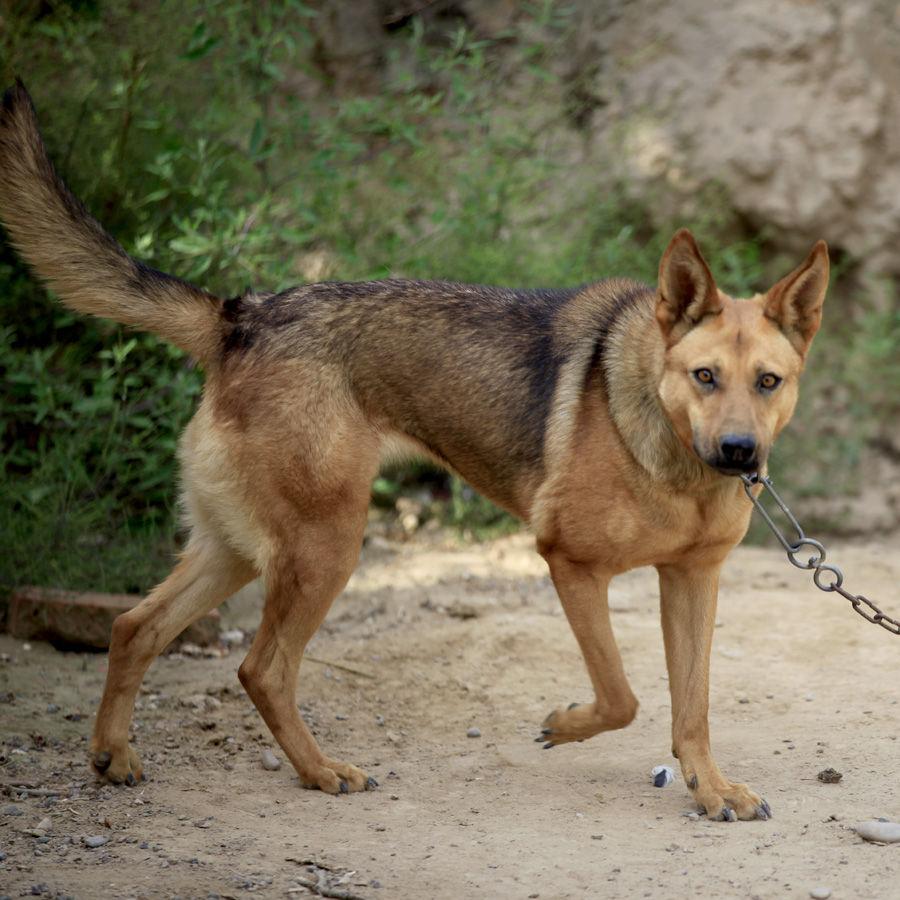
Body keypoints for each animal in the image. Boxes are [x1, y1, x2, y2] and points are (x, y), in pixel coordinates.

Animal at [0, 81, 828, 820]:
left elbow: (692, 706)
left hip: (236, 548)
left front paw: (709, 789)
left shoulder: (693, 581)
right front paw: (563, 725)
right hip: (326, 546)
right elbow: (621, 696)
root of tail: (241, 316)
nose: (738, 452)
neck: (675, 460)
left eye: (768, 381)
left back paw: (114, 754)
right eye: (704, 376)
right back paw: (319, 771)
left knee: (134, 627)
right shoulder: (570, 562)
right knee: (261, 667)